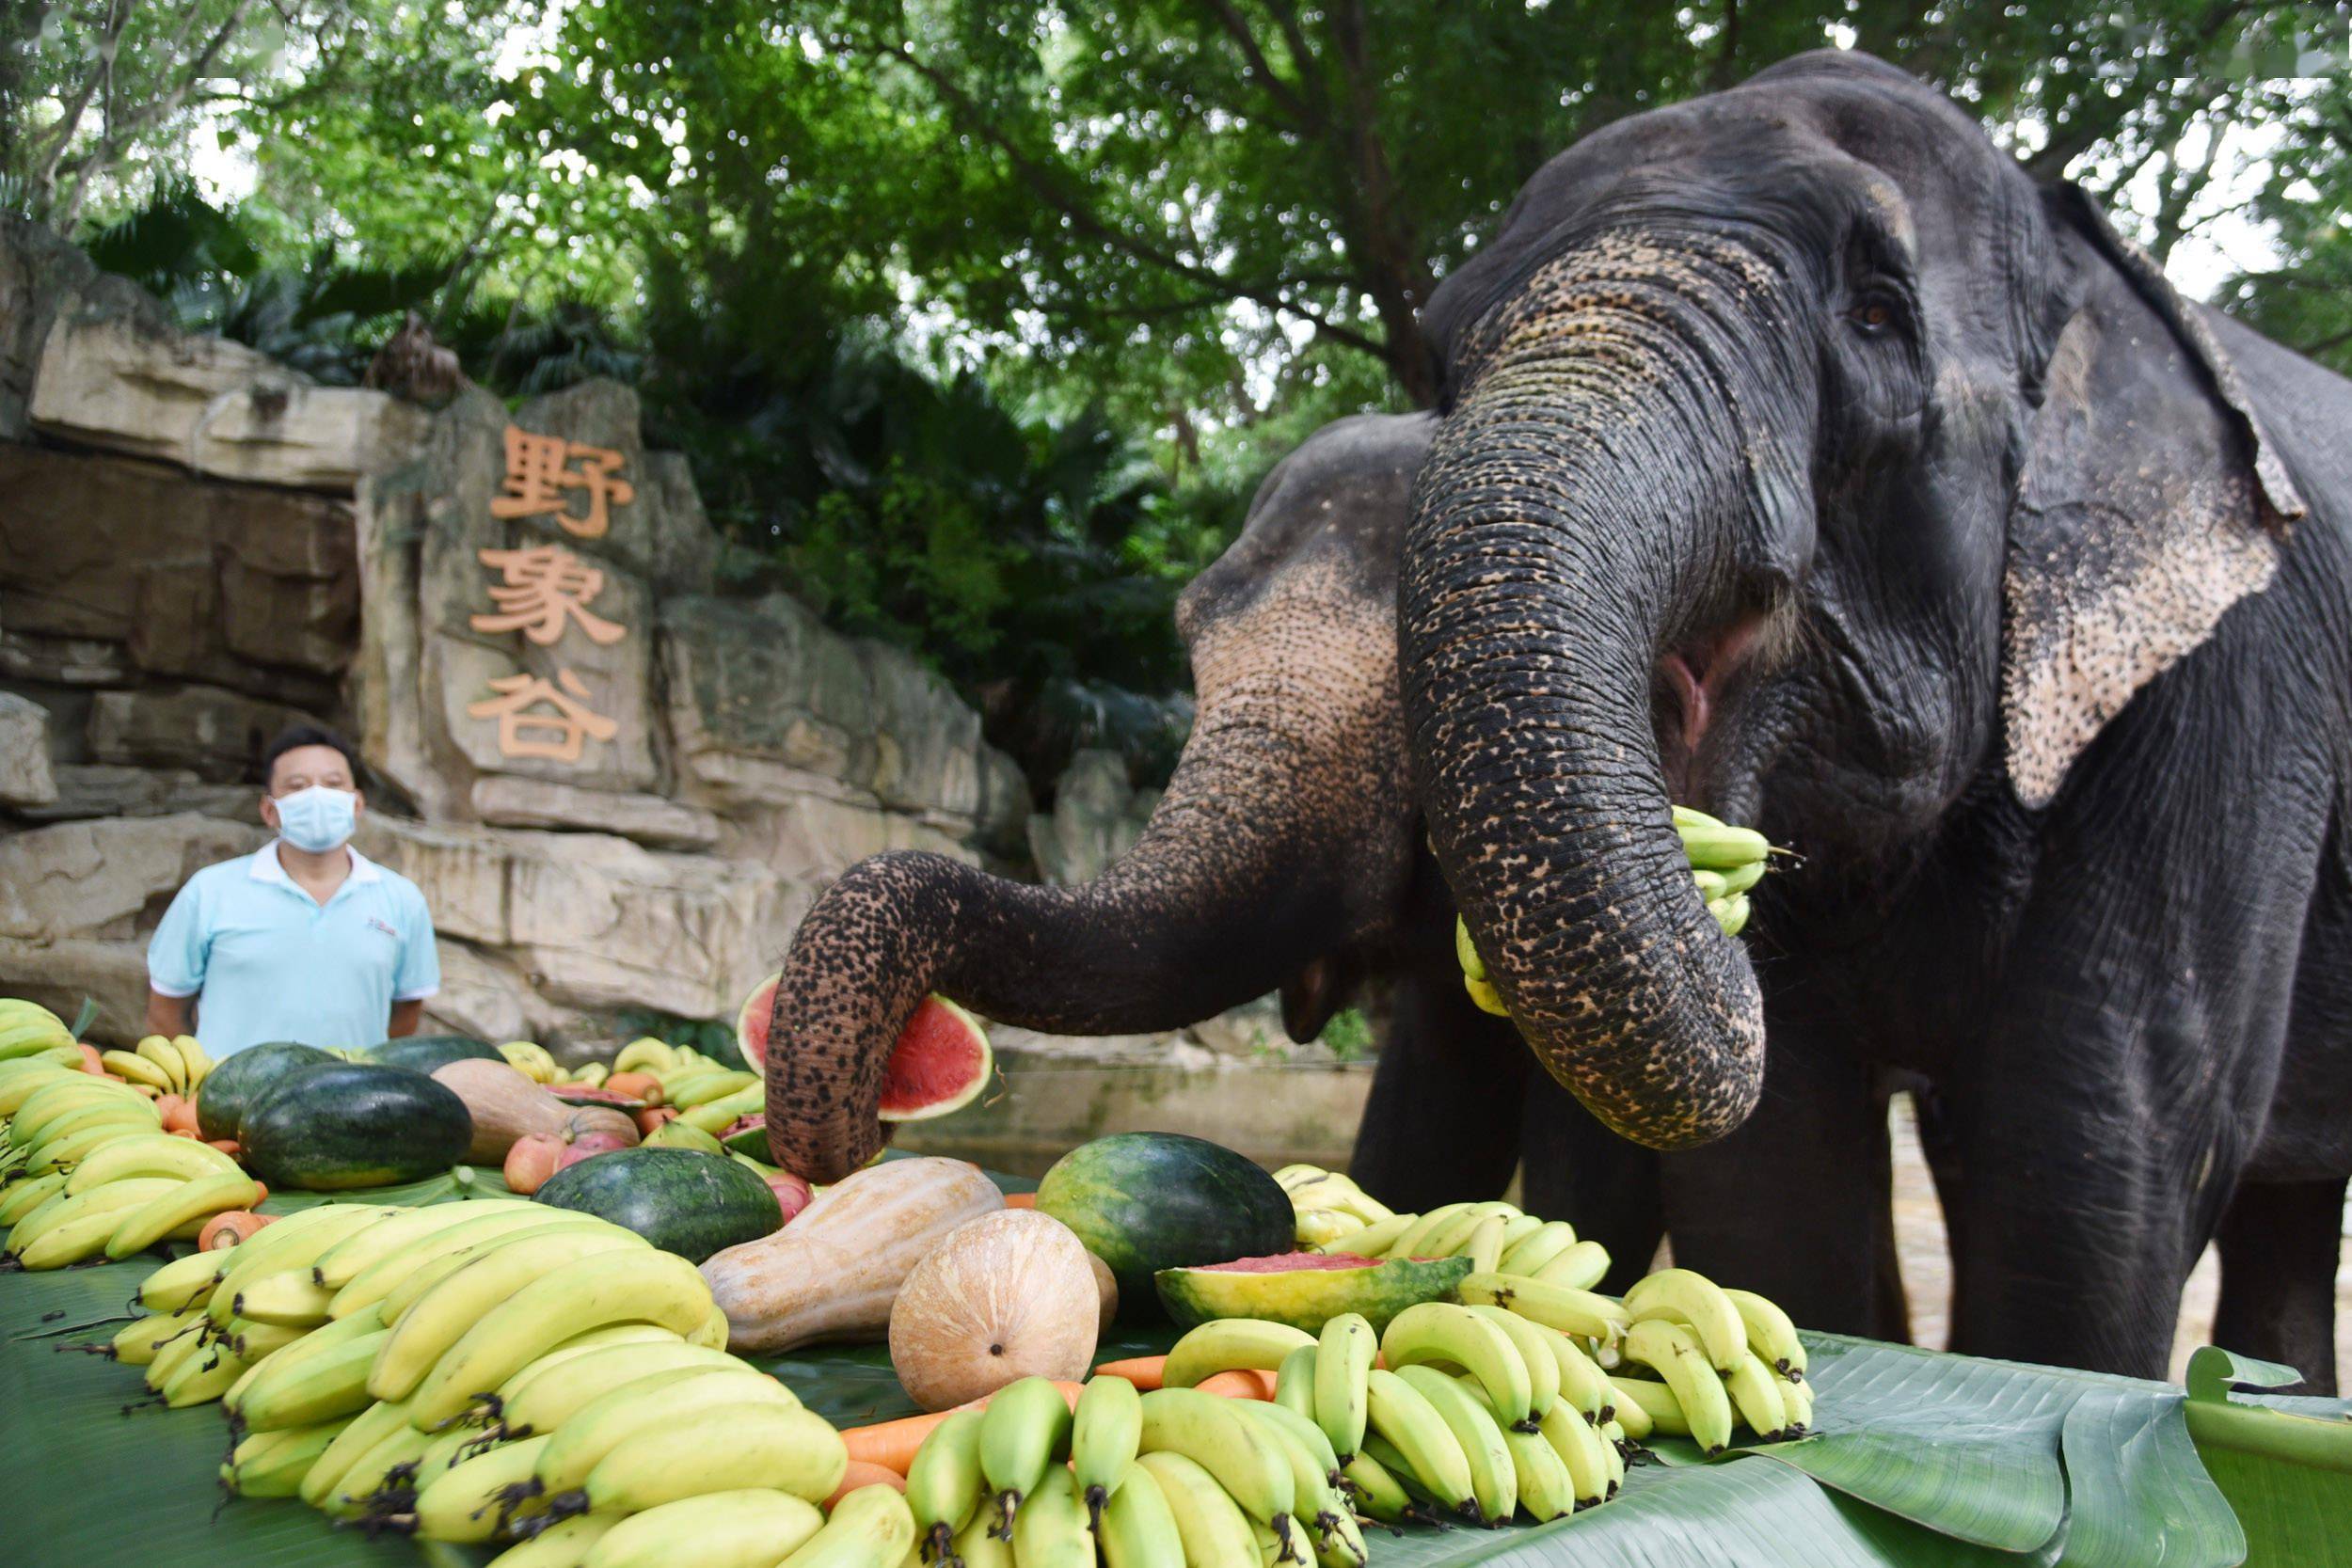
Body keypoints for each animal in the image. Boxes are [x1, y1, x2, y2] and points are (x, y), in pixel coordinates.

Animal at [1402, 49, 2343, 1382]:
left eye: (1878, 316)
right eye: (1438, 364)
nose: (1718, 889)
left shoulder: (2221, 688)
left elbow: (2090, 1153)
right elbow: (1779, 1175)